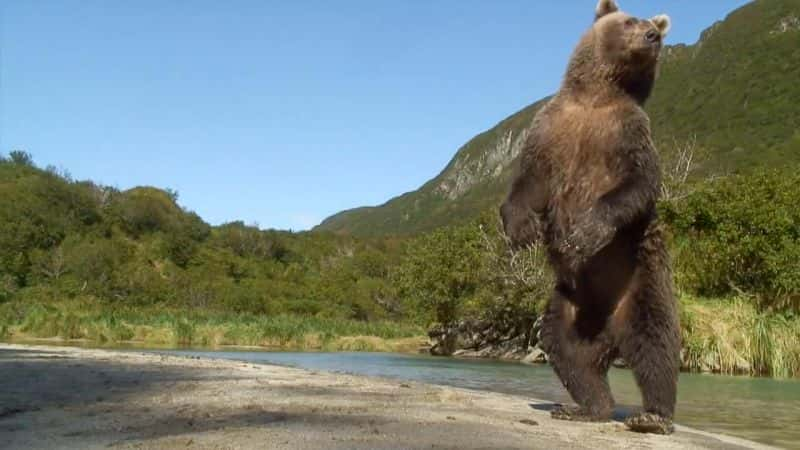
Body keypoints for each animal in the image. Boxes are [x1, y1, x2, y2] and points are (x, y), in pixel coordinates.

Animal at [500, 0, 680, 436]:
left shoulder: (629, 134)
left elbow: (637, 185)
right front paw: (522, 228)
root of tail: (609, 332)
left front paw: (585, 232)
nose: (652, 35)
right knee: (568, 354)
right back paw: (586, 407)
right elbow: (528, 182)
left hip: (640, 285)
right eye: (631, 20)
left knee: (657, 346)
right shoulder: (551, 129)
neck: (596, 98)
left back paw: (653, 416)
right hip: (568, 306)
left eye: (655, 27)